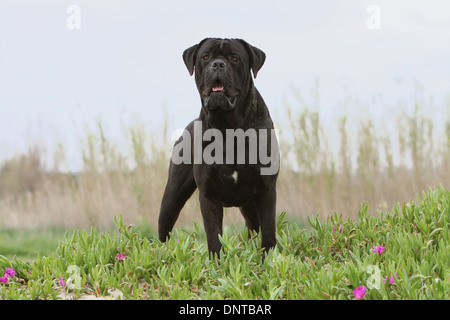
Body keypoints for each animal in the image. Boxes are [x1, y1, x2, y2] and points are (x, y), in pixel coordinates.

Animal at [157, 38, 278, 258]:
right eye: (205, 57)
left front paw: (269, 259)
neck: (227, 125)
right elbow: (214, 236)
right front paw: (216, 262)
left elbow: (268, 231)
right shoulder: (209, 194)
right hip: (171, 198)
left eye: (235, 58)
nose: (218, 64)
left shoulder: (266, 189)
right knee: (164, 229)